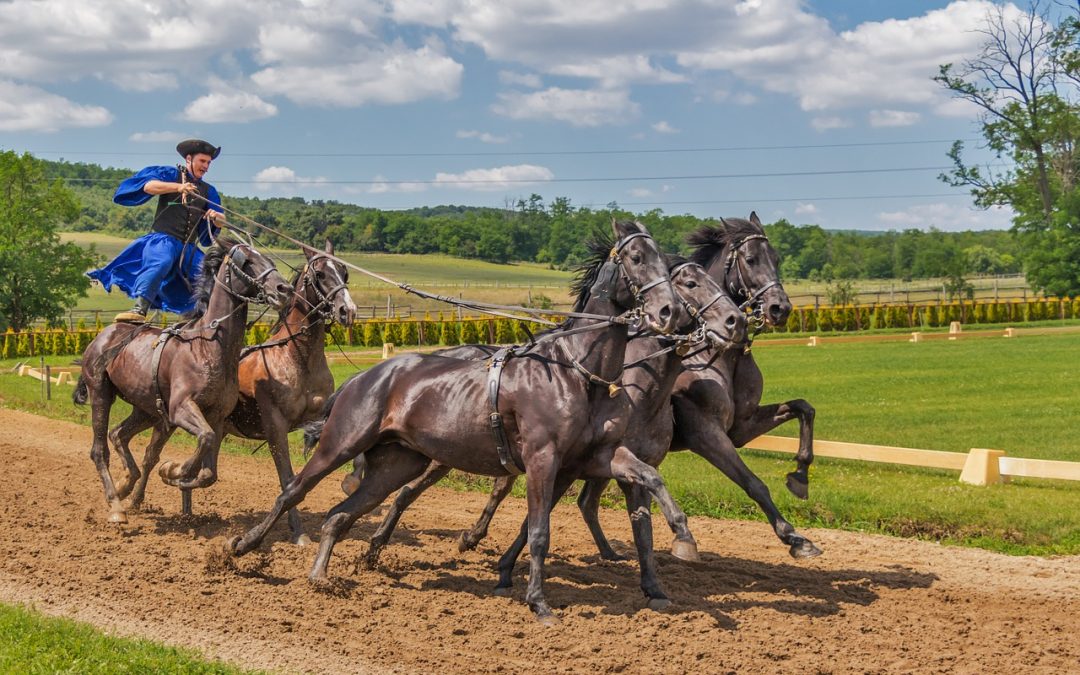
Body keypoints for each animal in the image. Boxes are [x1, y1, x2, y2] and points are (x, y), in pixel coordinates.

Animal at [72, 239, 293, 524]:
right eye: (248, 262)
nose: (284, 289)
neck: (206, 346)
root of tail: (102, 337)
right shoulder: (181, 409)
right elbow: (205, 439)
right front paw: (174, 469)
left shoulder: (216, 416)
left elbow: (209, 471)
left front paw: (175, 473)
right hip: (101, 394)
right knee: (100, 450)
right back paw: (116, 505)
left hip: (147, 410)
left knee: (119, 434)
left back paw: (126, 484)